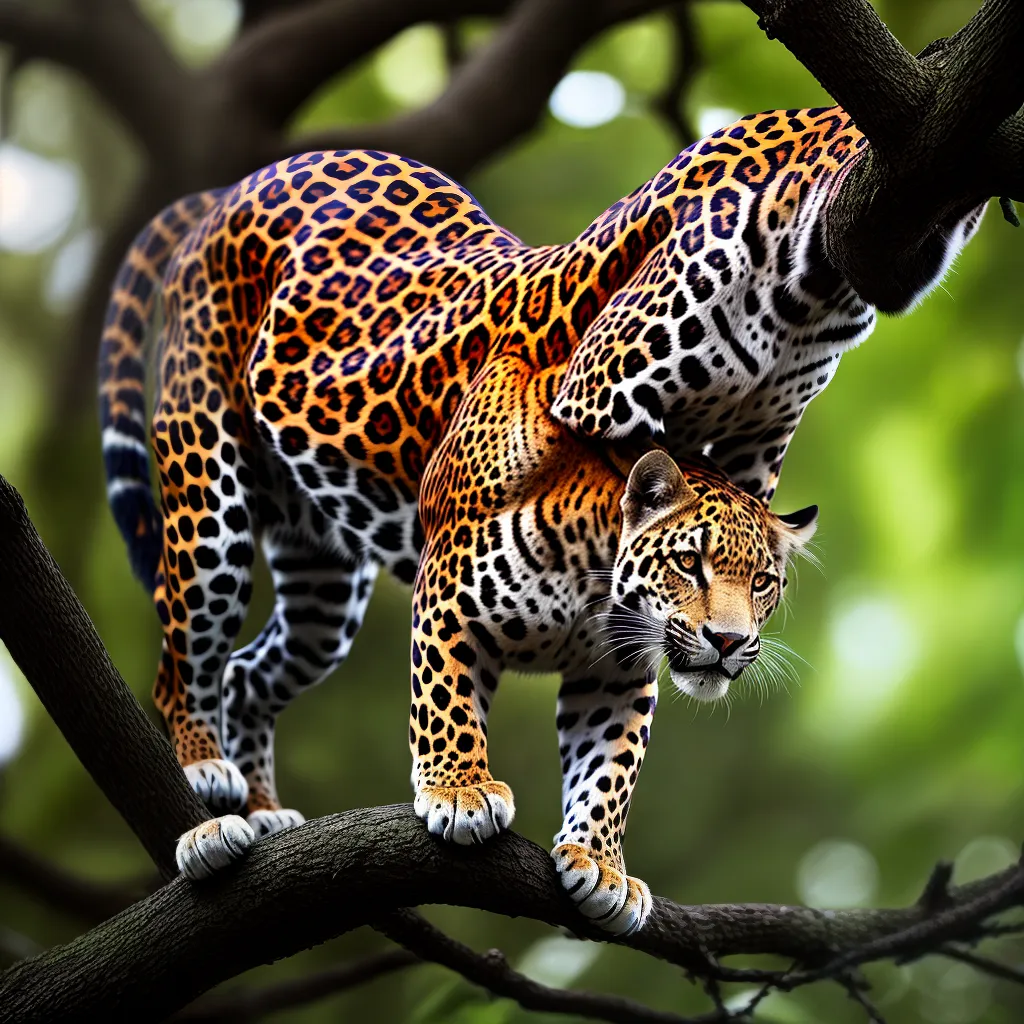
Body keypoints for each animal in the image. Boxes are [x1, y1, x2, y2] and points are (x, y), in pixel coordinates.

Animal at [97, 106, 982, 933]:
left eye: (763, 583)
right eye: (688, 564)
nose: (732, 642)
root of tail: (238, 185)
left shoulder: (628, 653)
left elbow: (611, 765)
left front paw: (599, 862)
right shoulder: (499, 524)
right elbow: (446, 698)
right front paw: (460, 792)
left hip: (320, 587)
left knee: (250, 670)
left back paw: (262, 811)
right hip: (209, 495)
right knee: (185, 651)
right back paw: (205, 773)